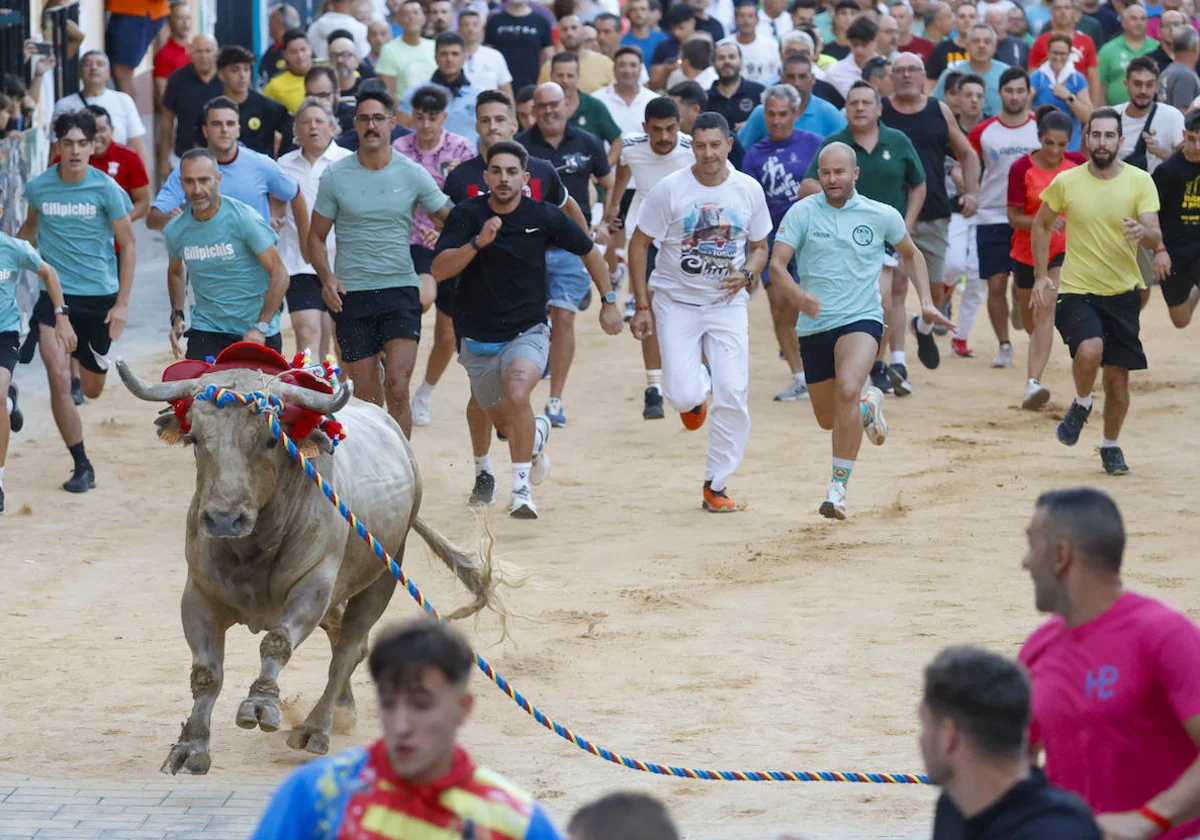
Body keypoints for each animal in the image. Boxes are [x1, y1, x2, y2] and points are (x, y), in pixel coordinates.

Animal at [117, 360, 501, 772]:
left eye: (271, 440)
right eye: (195, 439)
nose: (223, 520)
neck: (255, 546)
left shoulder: (313, 585)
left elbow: (277, 641)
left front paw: (261, 704)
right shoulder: (199, 595)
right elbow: (206, 672)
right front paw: (191, 745)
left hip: (383, 573)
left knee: (348, 650)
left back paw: (317, 727)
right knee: (342, 638)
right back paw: (343, 710)